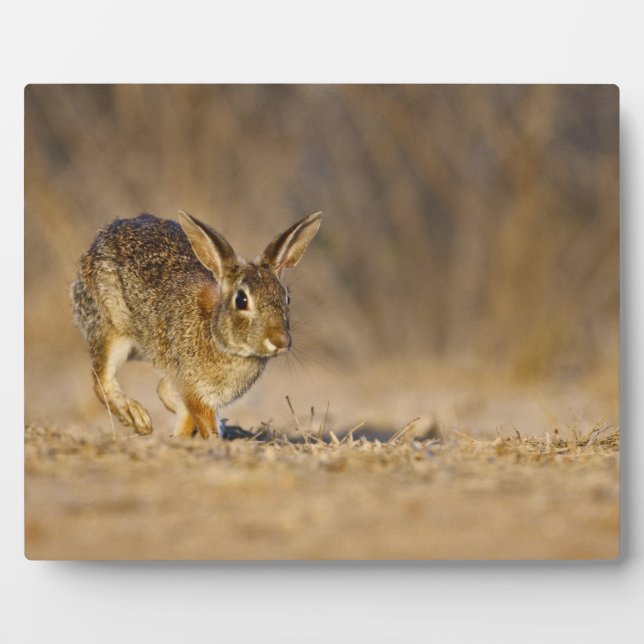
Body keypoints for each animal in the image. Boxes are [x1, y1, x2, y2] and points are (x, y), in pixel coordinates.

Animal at [70, 209, 322, 439]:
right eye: (241, 300)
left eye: (286, 298)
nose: (281, 340)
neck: (217, 335)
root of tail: (101, 238)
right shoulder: (194, 390)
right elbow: (201, 420)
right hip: (111, 328)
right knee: (102, 381)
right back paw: (137, 417)